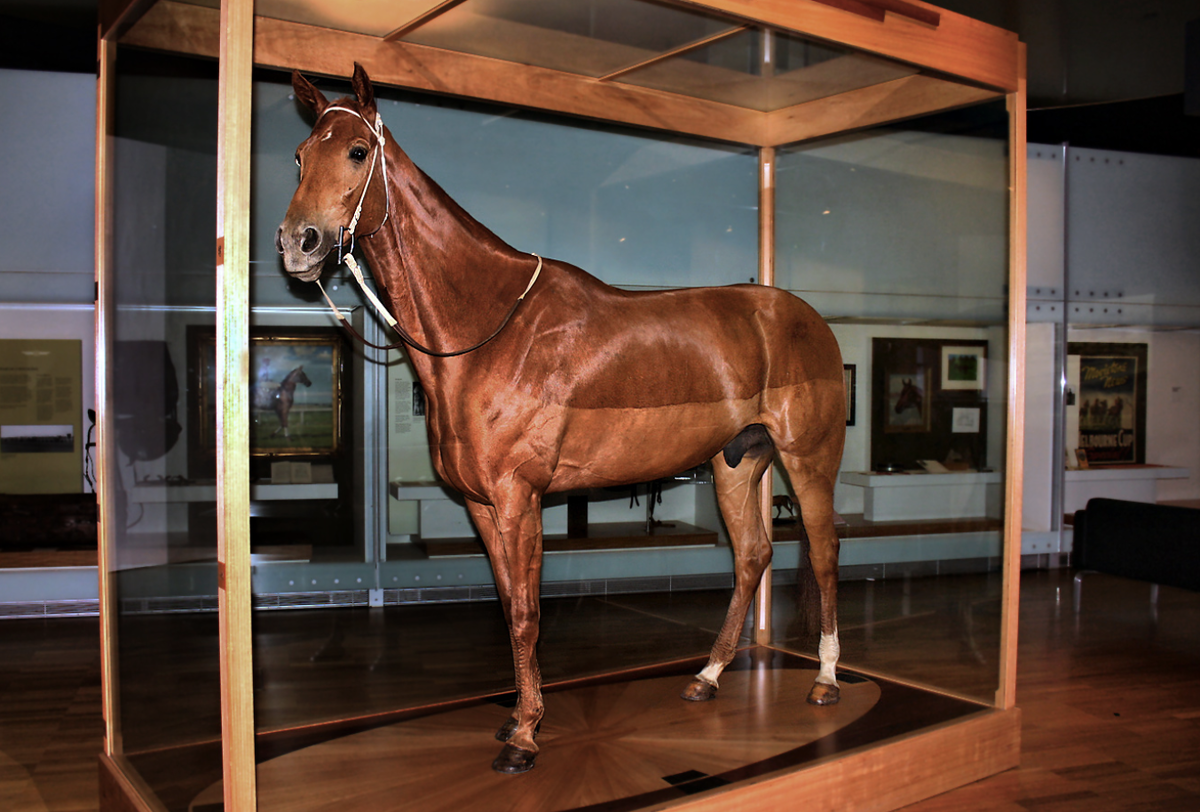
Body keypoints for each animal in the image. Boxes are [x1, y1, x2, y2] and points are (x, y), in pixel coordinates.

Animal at [276, 63, 849, 772]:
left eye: (357, 151)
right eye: (300, 155)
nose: (297, 244)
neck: (487, 332)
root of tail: (809, 320)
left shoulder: (519, 498)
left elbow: (526, 612)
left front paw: (525, 736)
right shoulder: (483, 505)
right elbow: (507, 606)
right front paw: (519, 718)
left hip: (807, 460)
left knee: (823, 551)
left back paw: (826, 679)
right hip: (735, 465)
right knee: (752, 557)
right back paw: (708, 676)